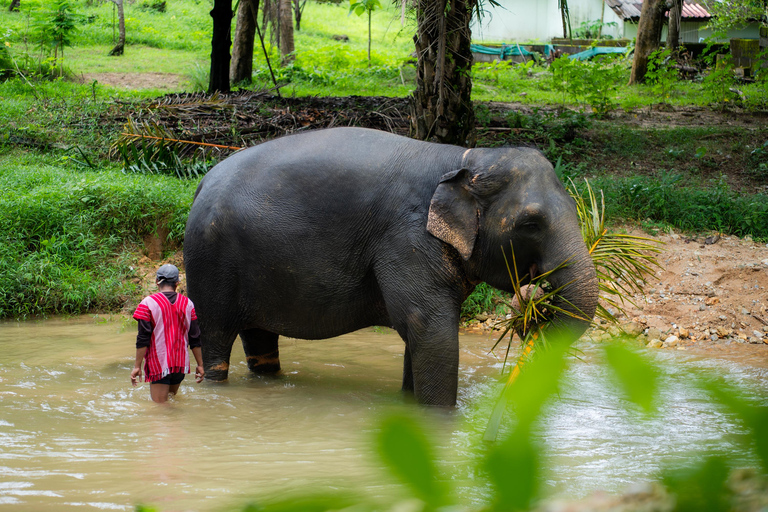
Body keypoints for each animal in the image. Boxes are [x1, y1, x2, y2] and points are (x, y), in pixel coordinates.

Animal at [183, 127, 598, 406]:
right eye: (530, 223)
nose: (535, 295)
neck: (465, 160)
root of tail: (203, 181)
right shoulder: (406, 238)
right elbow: (427, 327)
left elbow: (419, 337)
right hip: (209, 261)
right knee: (217, 338)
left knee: (260, 339)